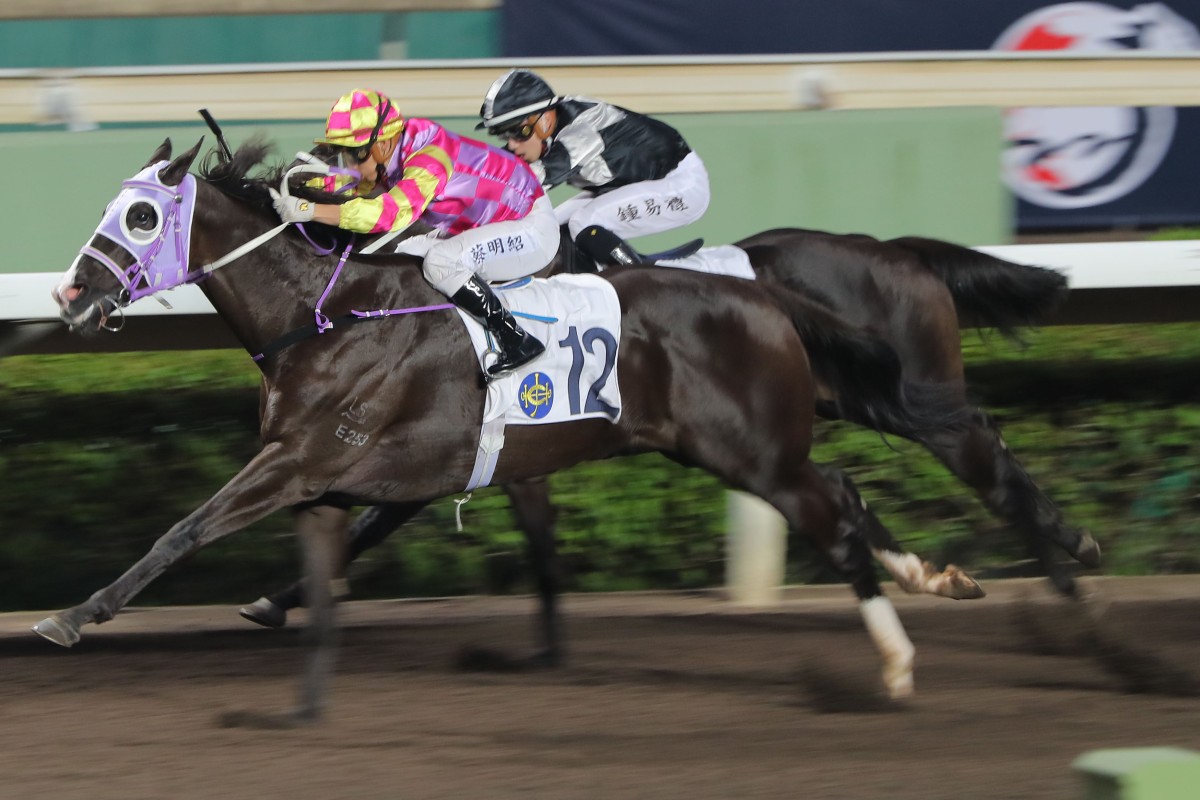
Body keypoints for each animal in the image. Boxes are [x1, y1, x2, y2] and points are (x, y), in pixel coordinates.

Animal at [37, 139, 979, 724]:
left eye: (141, 218)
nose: (71, 297)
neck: (324, 315)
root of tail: (762, 292)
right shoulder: (336, 483)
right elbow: (326, 575)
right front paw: (302, 696)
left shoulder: (300, 461)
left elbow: (184, 529)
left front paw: (72, 618)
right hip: (750, 449)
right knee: (843, 492)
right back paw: (931, 577)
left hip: (751, 453)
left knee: (832, 522)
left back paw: (898, 663)